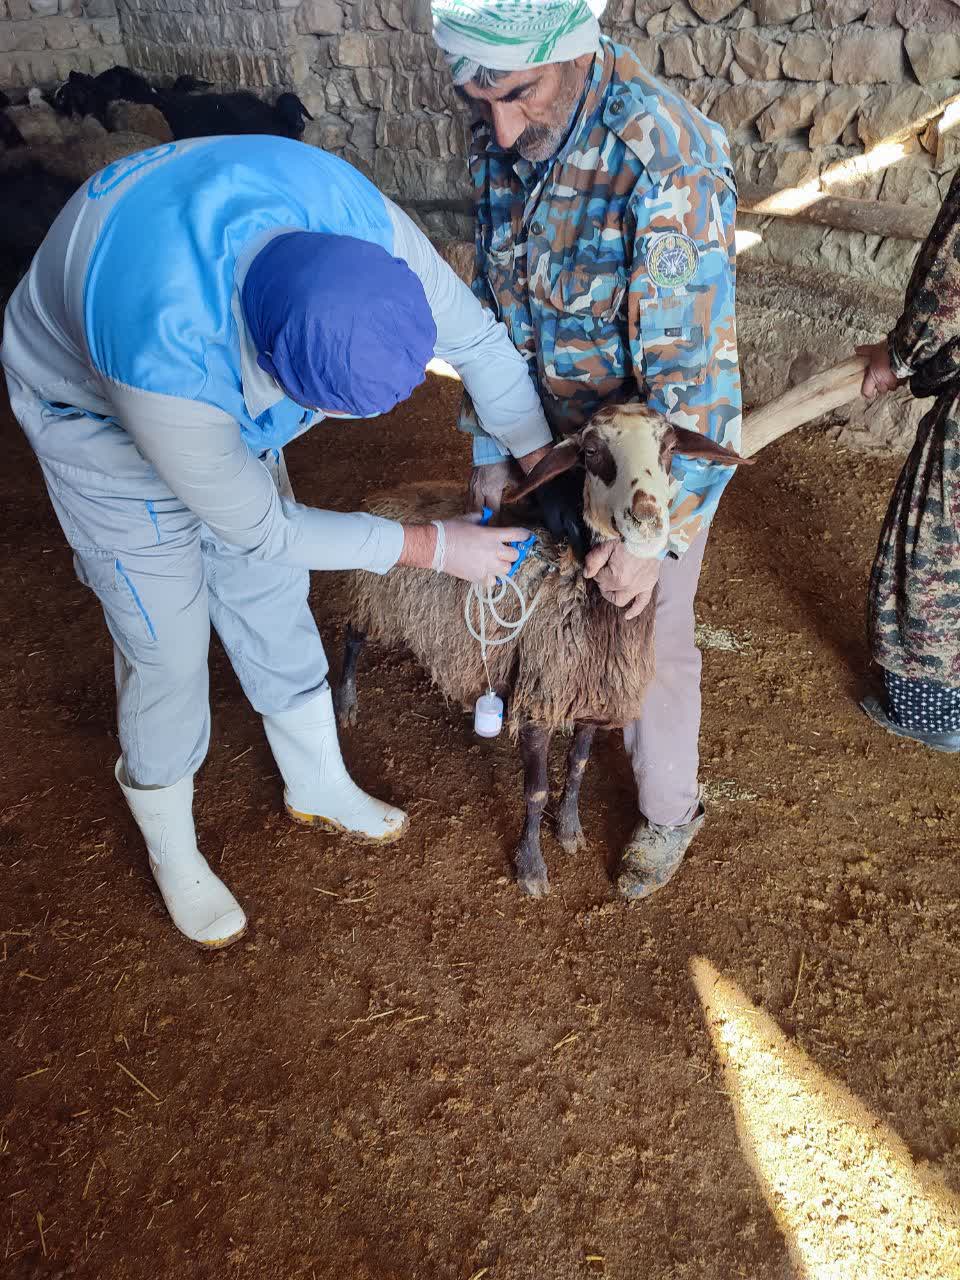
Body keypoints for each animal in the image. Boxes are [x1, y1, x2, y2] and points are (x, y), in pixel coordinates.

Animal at [338, 404, 752, 898]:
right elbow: (534, 790)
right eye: (591, 451)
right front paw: (532, 867)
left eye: (669, 446)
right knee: (351, 636)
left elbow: (578, 764)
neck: (583, 594)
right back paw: (345, 703)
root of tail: (383, 494)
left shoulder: (591, 698)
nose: (647, 518)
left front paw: (570, 831)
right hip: (373, 595)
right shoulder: (537, 697)